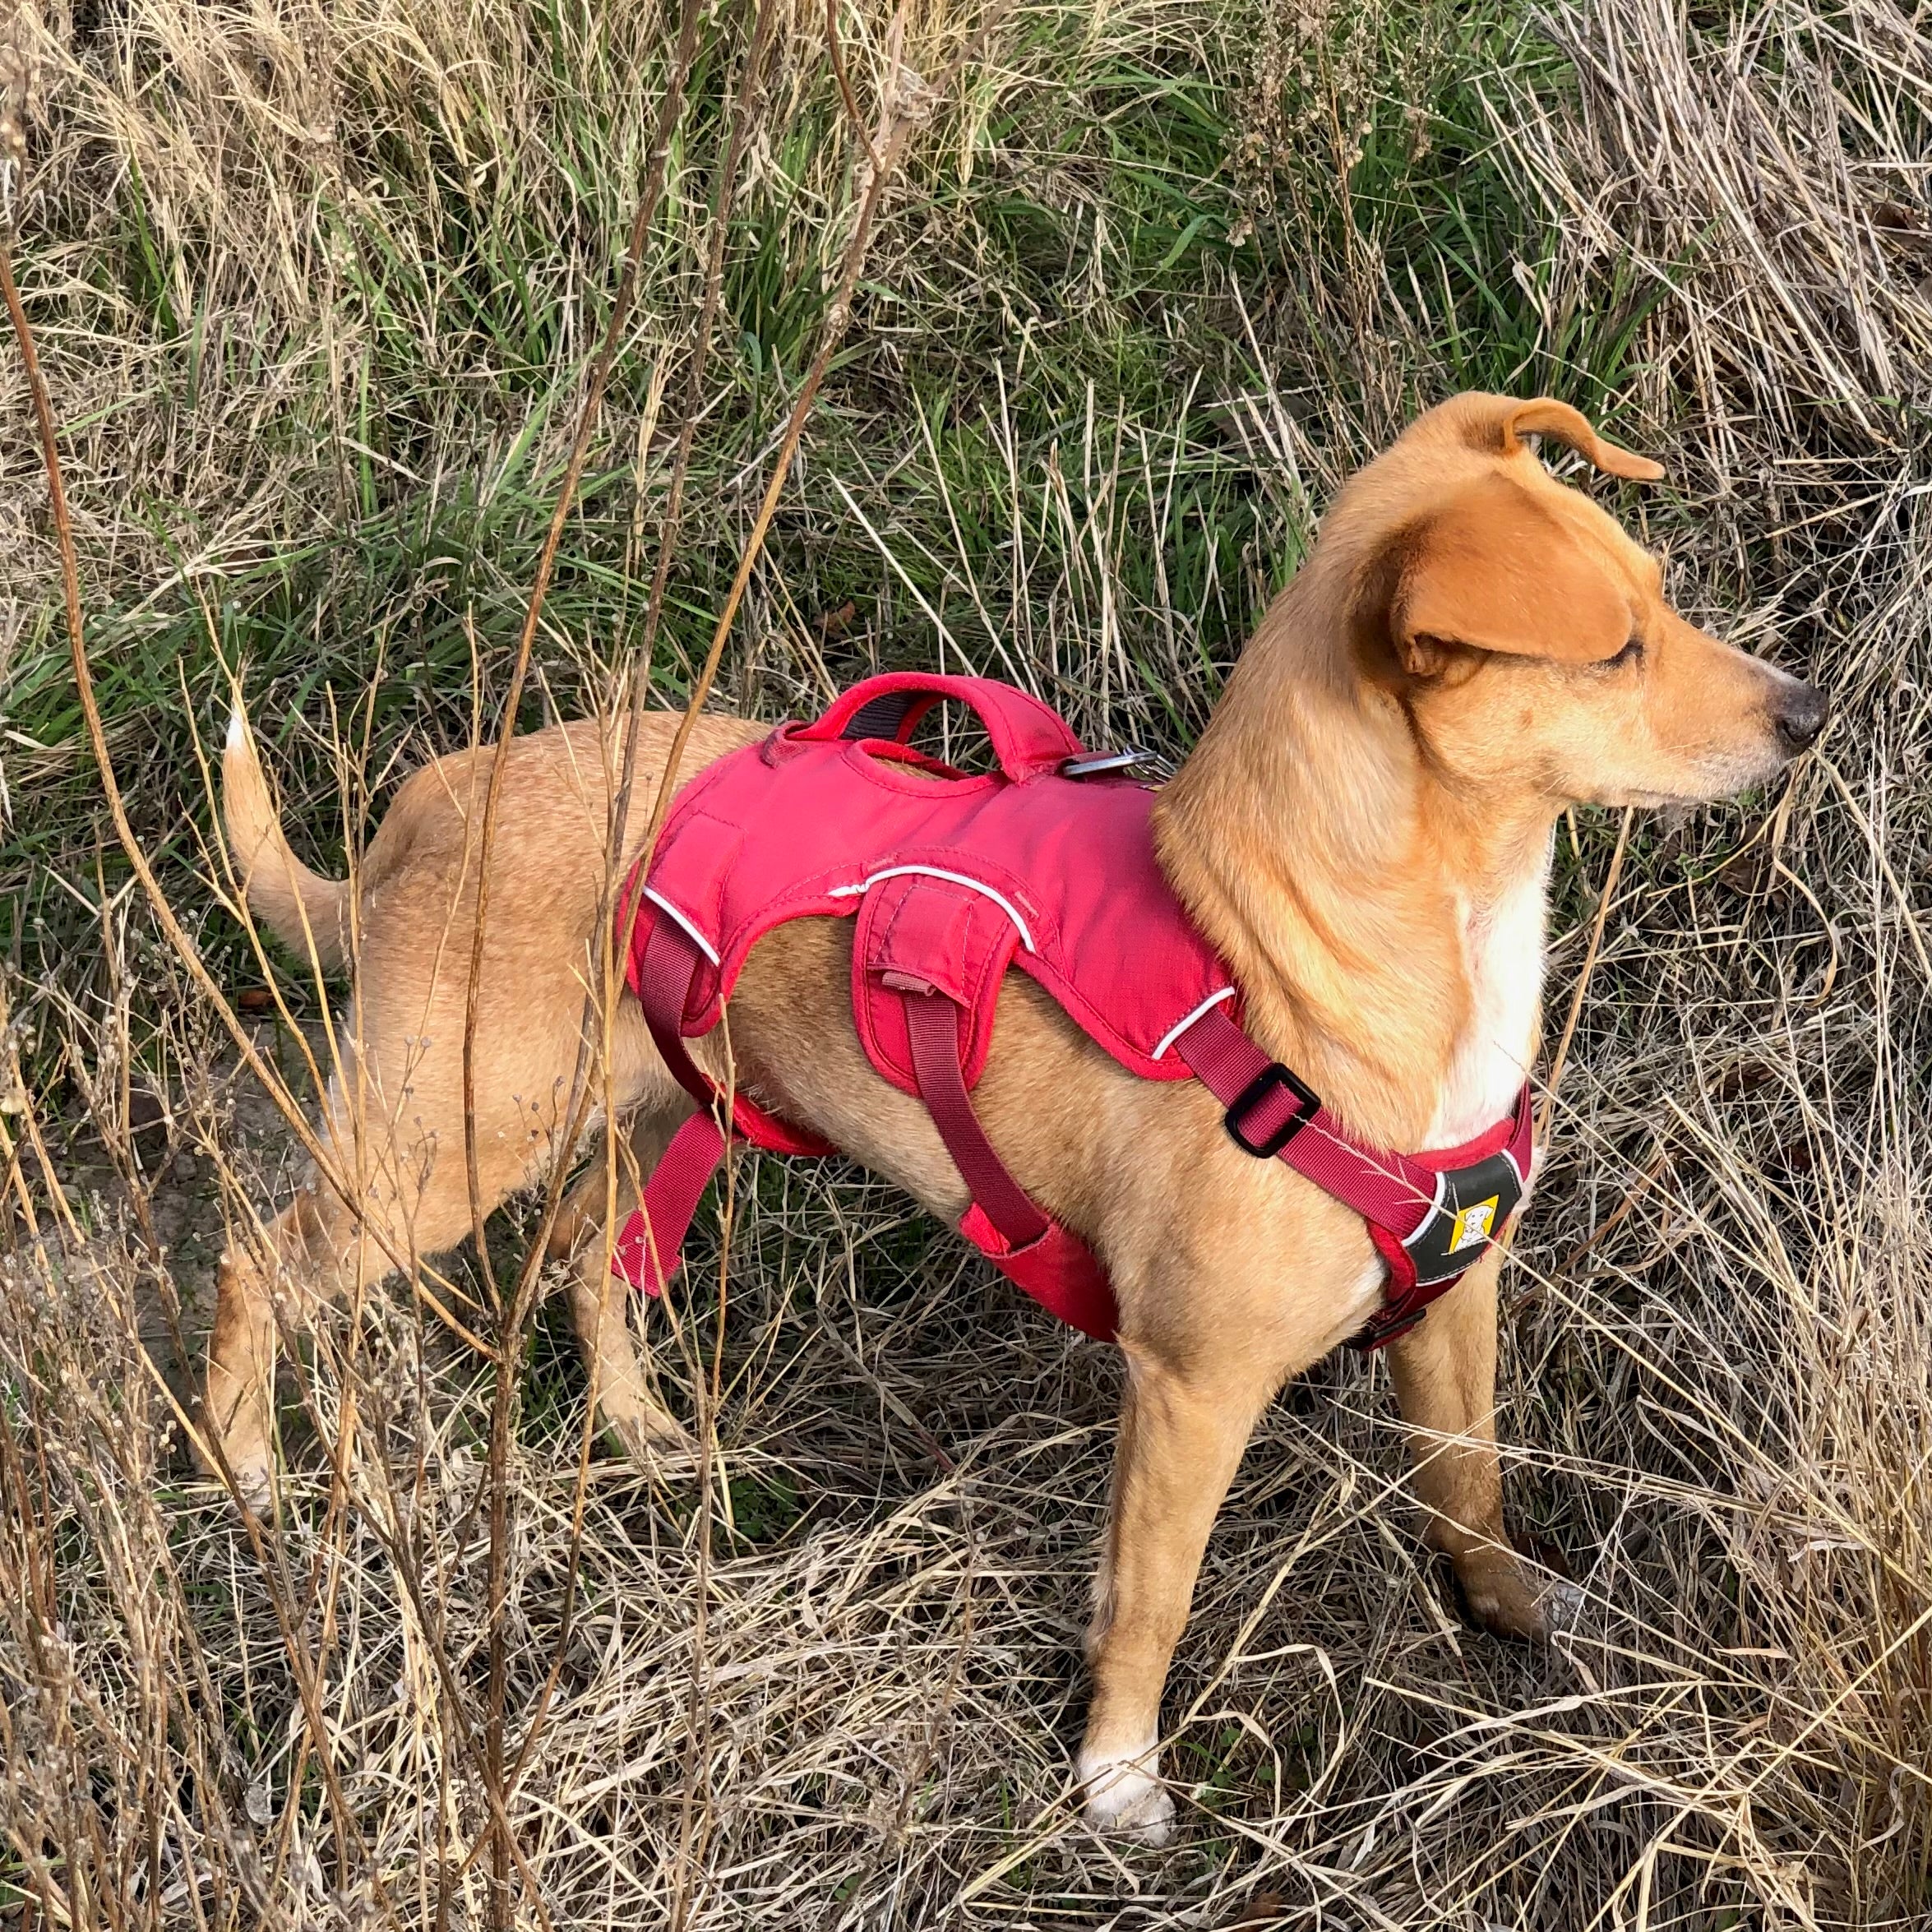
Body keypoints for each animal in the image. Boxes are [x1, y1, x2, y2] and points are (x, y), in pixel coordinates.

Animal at [211, 392, 1823, 1839]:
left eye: (1660, 597)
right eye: (1614, 650)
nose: (1809, 712)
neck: (1301, 963)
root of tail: (427, 808)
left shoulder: (1455, 1298)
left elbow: (1470, 1485)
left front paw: (1511, 1615)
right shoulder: (1190, 1389)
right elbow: (1155, 1601)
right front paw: (1117, 1780)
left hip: (641, 1115)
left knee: (584, 1263)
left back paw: (642, 1434)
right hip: (433, 1156)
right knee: (258, 1260)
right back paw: (247, 1466)